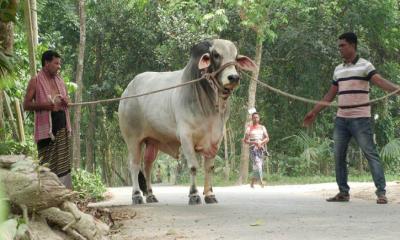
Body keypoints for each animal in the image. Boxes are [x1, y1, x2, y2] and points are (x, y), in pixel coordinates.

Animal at [119, 39, 256, 204]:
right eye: (216, 55)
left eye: (236, 57)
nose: (233, 77)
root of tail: (127, 91)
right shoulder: (186, 137)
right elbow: (193, 167)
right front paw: (194, 195)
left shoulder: (216, 139)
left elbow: (209, 168)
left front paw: (210, 195)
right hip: (132, 139)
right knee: (134, 165)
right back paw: (137, 196)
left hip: (152, 142)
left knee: (147, 166)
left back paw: (151, 195)